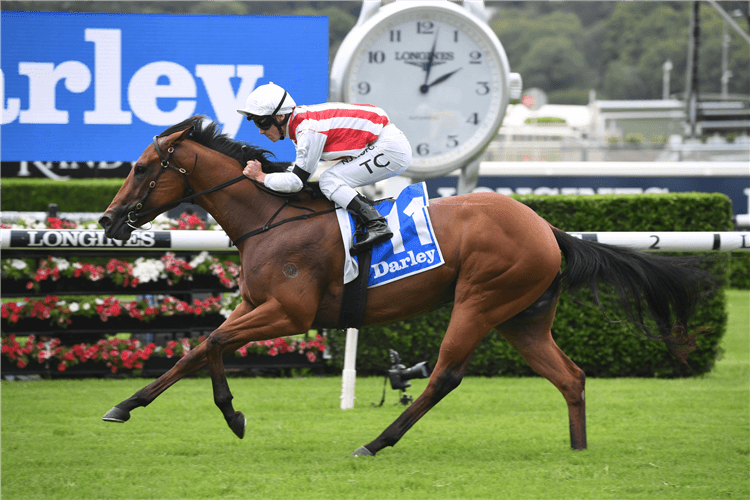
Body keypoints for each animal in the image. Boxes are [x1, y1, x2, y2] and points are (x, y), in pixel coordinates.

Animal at [100, 115, 716, 456]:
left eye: (140, 167)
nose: (108, 220)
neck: (271, 218)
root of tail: (547, 228)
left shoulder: (290, 313)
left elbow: (210, 342)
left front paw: (230, 415)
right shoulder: (254, 304)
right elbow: (200, 347)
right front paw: (128, 405)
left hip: (480, 300)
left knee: (444, 375)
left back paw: (375, 443)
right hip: (523, 318)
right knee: (571, 377)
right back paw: (578, 450)